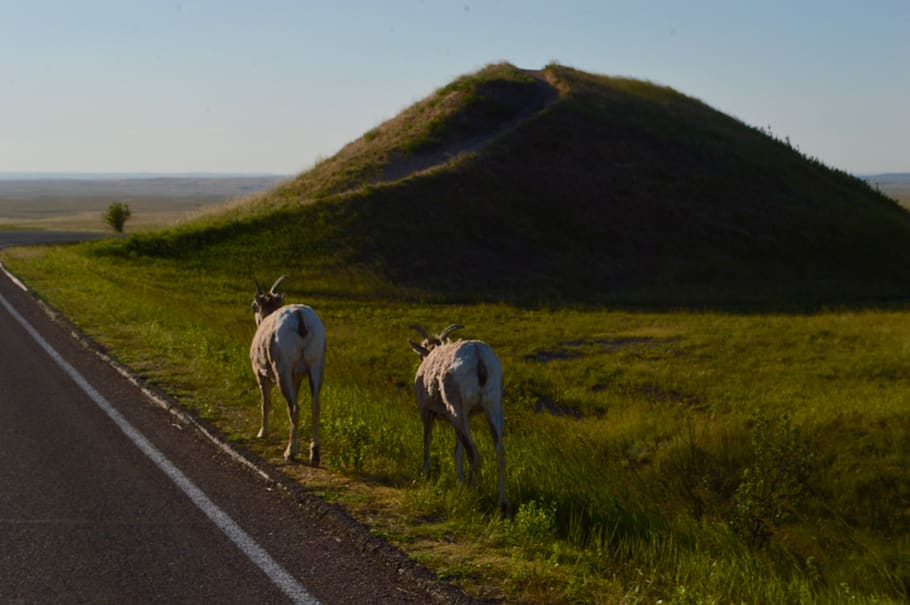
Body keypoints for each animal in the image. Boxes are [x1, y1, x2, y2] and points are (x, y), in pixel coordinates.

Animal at [251, 276, 326, 464]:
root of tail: (300, 317)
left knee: (294, 408)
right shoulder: (297, 379)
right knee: (314, 406)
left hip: (282, 372)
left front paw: (262, 433)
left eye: (254, 306)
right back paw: (314, 454)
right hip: (316, 367)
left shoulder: (261, 376)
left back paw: (289, 453)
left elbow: (265, 403)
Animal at [410, 324, 510, 512]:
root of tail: (478, 356)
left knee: (474, 454)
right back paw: (503, 504)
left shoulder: (426, 411)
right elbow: (458, 451)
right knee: (499, 452)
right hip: (493, 407)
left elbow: (427, 440)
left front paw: (425, 472)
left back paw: (473, 495)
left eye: (420, 355)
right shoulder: (465, 418)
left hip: (457, 410)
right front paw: (459, 482)